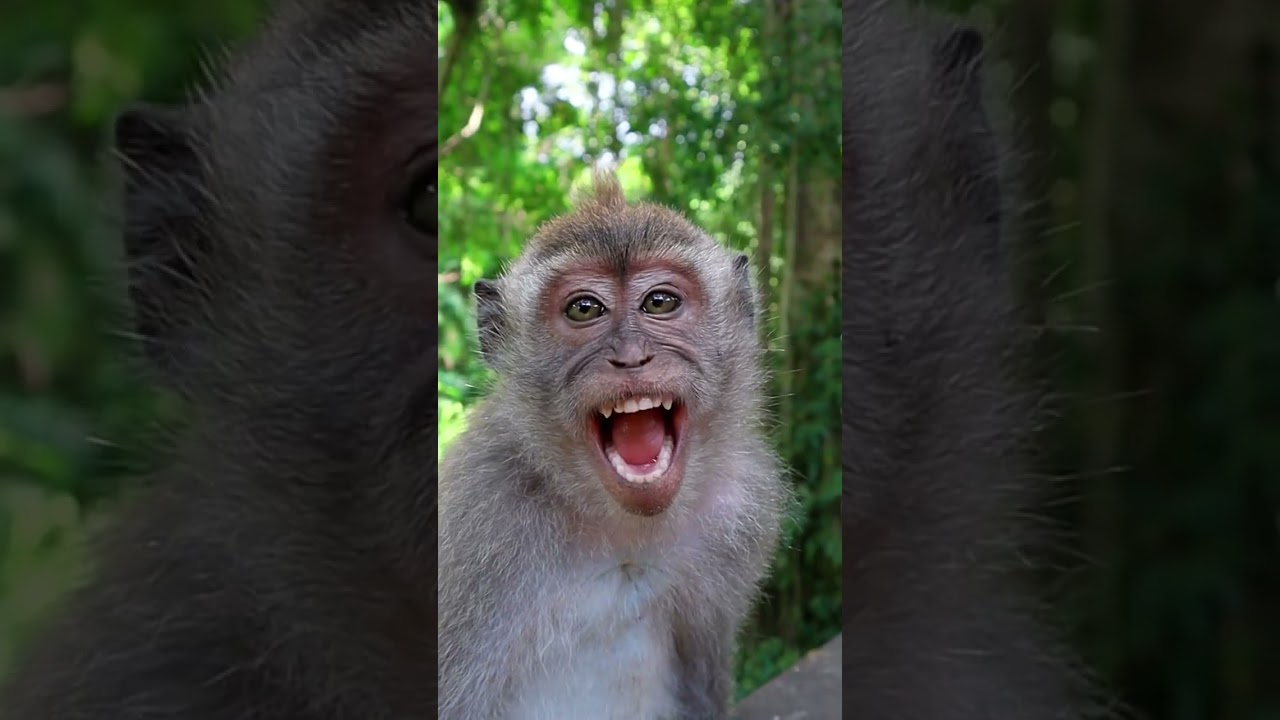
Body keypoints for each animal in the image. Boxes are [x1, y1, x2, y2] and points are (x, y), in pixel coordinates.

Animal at [436, 173, 789, 720]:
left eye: (660, 302)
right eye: (584, 309)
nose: (631, 357)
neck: (618, 525)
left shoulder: (743, 506)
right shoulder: (474, 522)